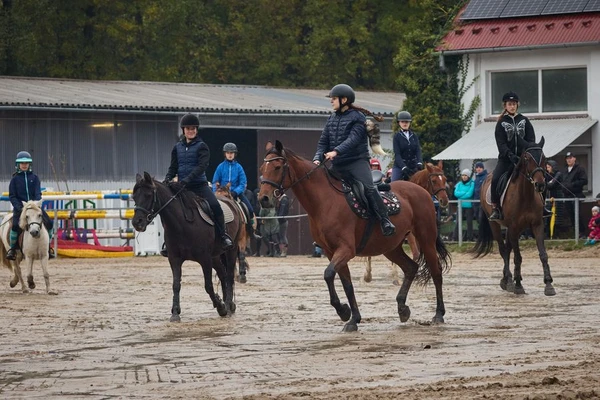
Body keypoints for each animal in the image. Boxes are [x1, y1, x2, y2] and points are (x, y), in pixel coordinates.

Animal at [132, 173, 243, 322]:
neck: (182, 224)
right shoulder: (174, 259)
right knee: (223, 274)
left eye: (148, 195)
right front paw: (175, 313)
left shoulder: (205, 259)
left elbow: (208, 285)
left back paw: (229, 306)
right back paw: (226, 302)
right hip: (215, 256)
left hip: (231, 250)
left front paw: (220, 307)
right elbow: (176, 285)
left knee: (229, 275)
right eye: (134, 197)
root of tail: (231, 202)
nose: (137, 223)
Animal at [258, 141, 450, 332]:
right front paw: (353, 318)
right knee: (411, 267)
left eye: (277, 167)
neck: (325, 201)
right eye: (262, 169)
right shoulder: (331, 252)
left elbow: (328, 274)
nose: (264, 198)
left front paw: (343, 311)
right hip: (391, 247)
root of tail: (421, 191)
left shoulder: (346, 249)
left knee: (436, 272)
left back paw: (438, 314)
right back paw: (402, 308)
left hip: (426, 239)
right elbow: (346, 284)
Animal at [472, 138, 556, 296]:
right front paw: (517, 285)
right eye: (527, 158)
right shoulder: (514, 226)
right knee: (503, 249)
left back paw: (506, 280)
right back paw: (509, 280)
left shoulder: (537, 225)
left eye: (545, 158)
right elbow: (517, 257)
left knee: (507, 248)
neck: (526, 195)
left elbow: (543, 254)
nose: (540, 184)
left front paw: (548, 284)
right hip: (496, 225)